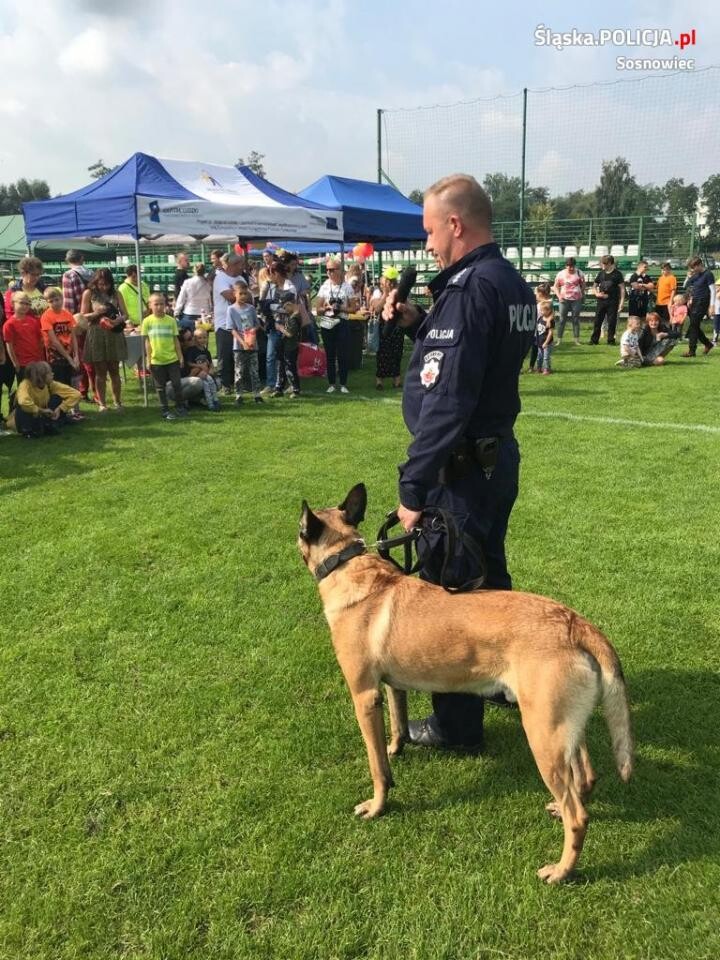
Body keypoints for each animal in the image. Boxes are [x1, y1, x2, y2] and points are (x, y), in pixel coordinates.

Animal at [296, 484, 632, 880]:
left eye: (299, 529)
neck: (347, 563)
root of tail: (575, 623)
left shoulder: (363, 696)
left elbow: (376, 766)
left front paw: (378, 805)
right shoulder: (392, 686)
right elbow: (396, 725)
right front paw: (397, 747)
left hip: (542, 735)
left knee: (578, 816)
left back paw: (562, 870)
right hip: (563, 727)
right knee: (587, 776)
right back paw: (561, 809)